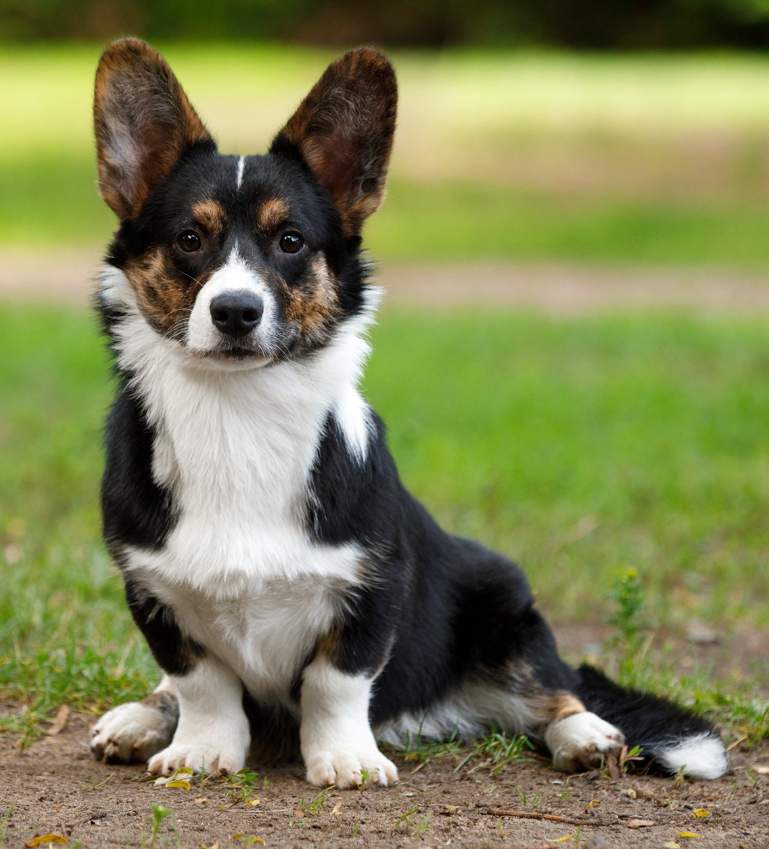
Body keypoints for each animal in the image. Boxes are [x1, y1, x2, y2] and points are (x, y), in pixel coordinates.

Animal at [88, 36, 728, 784]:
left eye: (291, 241)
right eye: (190, 239)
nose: (236, 312)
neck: (237, 413)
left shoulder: (374, 585)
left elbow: (334, 681)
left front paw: (344, 759)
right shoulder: (152, 591)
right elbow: (200, 681)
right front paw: (201, 749)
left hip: (502, 600)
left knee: (553, 686)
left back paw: (586, 734)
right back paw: (140, 718)